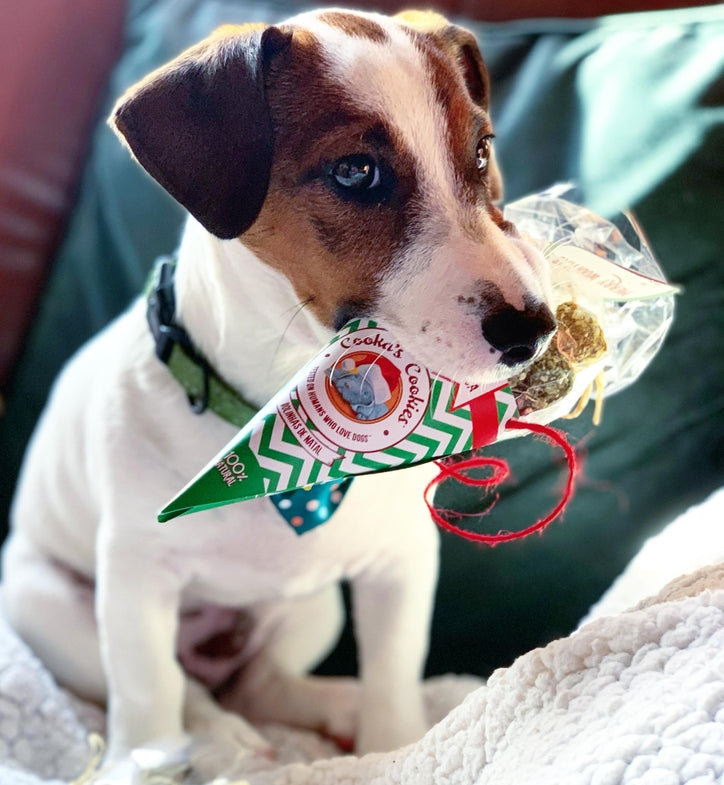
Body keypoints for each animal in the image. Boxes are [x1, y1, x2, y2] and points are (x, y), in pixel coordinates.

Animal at [1, 7, 556, 772]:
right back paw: (222, 744)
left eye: (480, 153)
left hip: (311, 609)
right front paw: (140, 763)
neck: (283, 414)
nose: (535, 327)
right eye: (356, 171)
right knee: (190, 691)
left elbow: (393, 675)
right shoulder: (135, 580)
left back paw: (329, 707)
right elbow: (147, 693)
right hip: (48, 604)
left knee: (260, 680)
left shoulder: (401, 564)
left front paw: (391, 744)